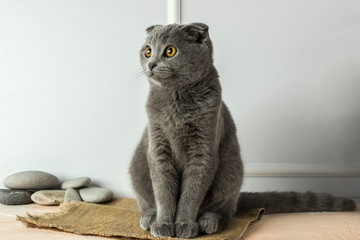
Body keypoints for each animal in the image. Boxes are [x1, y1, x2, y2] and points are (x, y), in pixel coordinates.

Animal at [129, 23, 354, 238]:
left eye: (170, 51)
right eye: (148, 51)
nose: (151, 64)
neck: (176, 97)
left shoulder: (204, 149)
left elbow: (191, 192)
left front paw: (184, 224)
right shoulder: (158, 147)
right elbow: (163, 190)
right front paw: (164, 225)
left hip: (231, 171)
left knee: (222, 209)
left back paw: (207, 221)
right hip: (138, 166)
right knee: (149, 200)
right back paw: (150, 217)